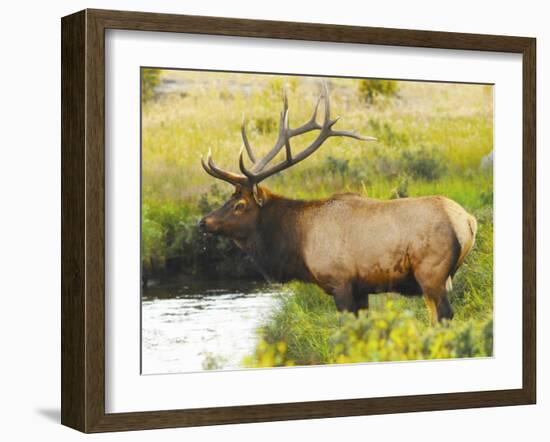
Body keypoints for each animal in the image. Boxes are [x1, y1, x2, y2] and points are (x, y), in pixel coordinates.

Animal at [199, 83, 478, 324]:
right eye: (229, 198)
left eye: (240, 204)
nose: (203, 222)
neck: (298, 243)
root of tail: (468, 222)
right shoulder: (362, 289)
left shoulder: (340, 281)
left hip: (431, 272)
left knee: (444, 315)